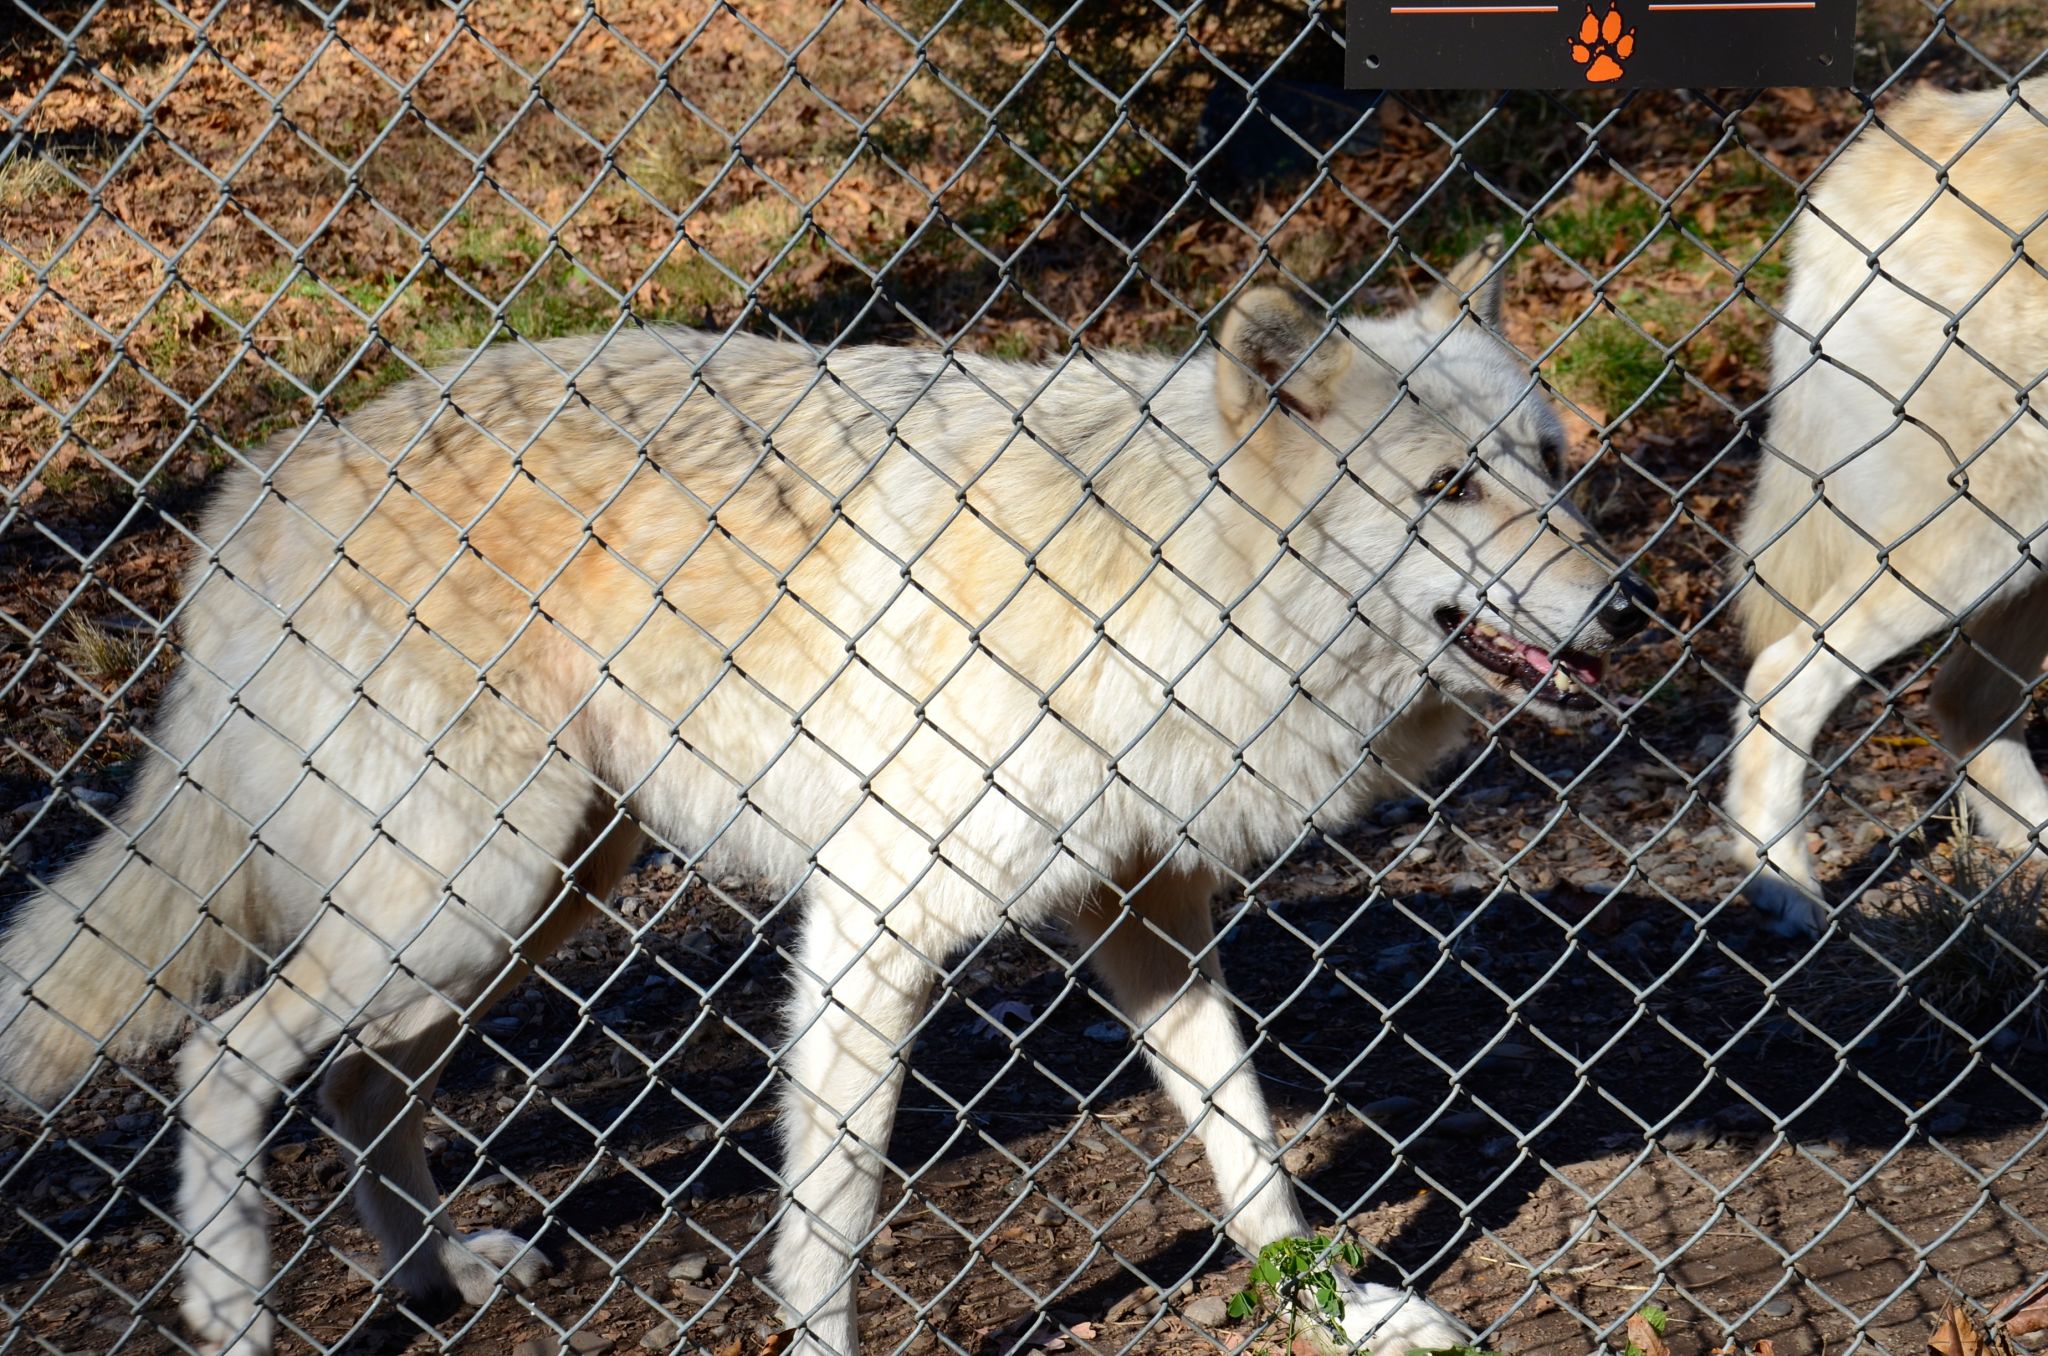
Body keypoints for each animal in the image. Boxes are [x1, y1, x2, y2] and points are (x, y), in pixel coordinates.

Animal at [0, 249, 1652, 1356]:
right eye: (1447, 489)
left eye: (1552, 463)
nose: (1628, 608)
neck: (1167, 571)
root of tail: (244, 498)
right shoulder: (874, 924)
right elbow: (832, 1222)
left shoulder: (1147, 920)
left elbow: (1246, 1159)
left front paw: (1329, 1311)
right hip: (463, 901)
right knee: (222, 1056)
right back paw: (237, 1314)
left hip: (515, 911)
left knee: (357, 1083)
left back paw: (432, 1281)